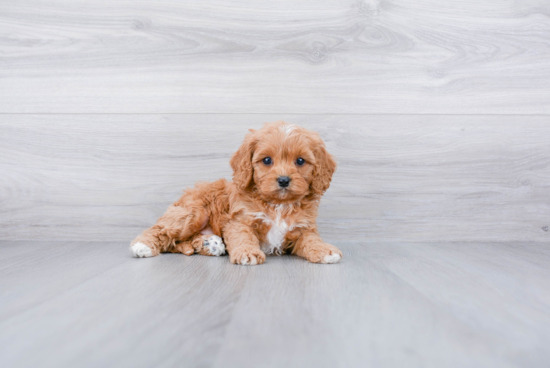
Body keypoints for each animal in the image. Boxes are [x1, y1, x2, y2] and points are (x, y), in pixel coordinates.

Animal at [132, 122, 342, 266]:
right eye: (267, 160)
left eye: (300, 161)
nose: (283, 180)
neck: (278, 205)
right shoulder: (240, 220)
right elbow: (243, 237)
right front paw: (247, 253)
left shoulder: (303, 227)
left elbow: (311, 240)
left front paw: (325, 249)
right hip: (193, 213)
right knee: (164, 233)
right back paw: (143, 245)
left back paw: (210, 244)